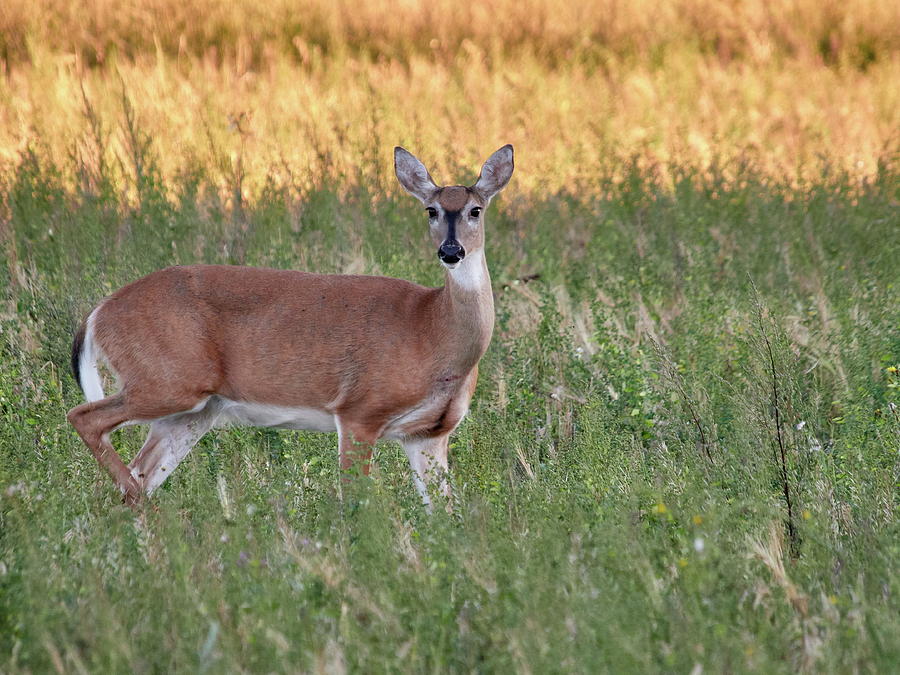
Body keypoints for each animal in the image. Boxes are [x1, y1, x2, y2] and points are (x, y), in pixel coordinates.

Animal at [67, 145, 516, 510]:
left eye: (476, 210)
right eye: (431, 210)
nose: (451, 251)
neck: (432, 331)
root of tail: (98, 314)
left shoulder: (428, 434)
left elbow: (444, 514)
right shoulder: (359, 411)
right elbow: (355, 503)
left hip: (192, 412)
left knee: (135, 476)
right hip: (167, 381)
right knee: (86, 420)